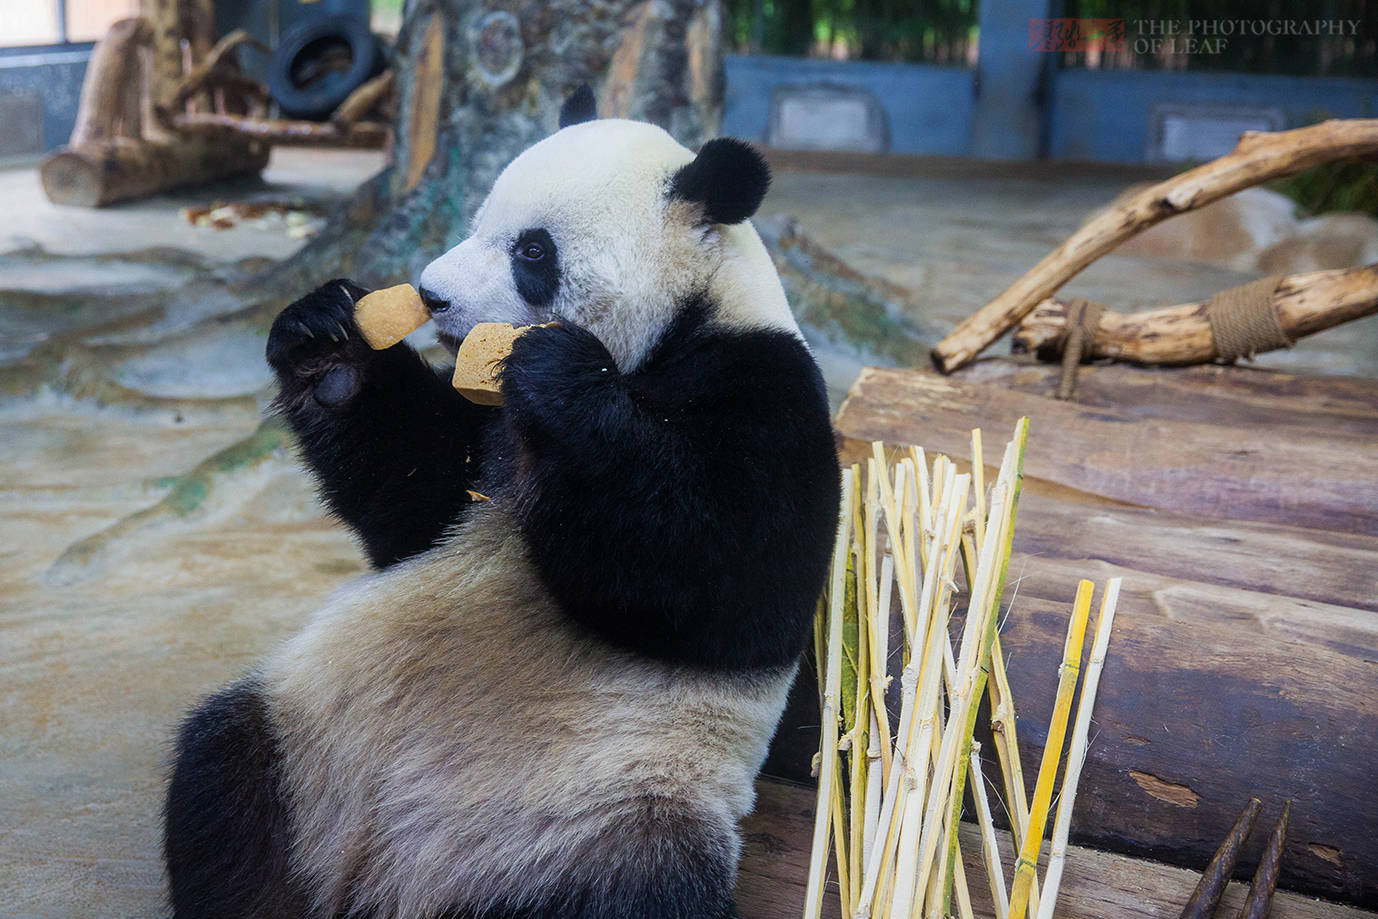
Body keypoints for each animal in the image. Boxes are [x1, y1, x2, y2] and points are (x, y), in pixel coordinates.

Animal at [161, 88, 837, 919]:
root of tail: (392, 882)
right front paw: (328, 342)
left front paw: (558, 374)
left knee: (643, 894)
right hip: (308, 745)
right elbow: (411, 503)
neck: (679, 325)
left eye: (533, 251)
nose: (431, 294)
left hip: (612, 815)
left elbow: (726, 580)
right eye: (479, 217)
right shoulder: (484, 439)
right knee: (224, 783)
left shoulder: (766, 386)